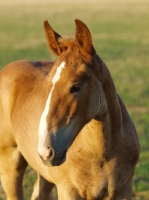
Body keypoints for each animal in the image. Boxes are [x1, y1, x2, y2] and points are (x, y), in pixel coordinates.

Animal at [0, 19, 140, 200]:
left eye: (76, 86)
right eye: (46, 85)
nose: (46, 150)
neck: (103, 153)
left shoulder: (124, 189)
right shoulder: (68, 190)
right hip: (10, 162)